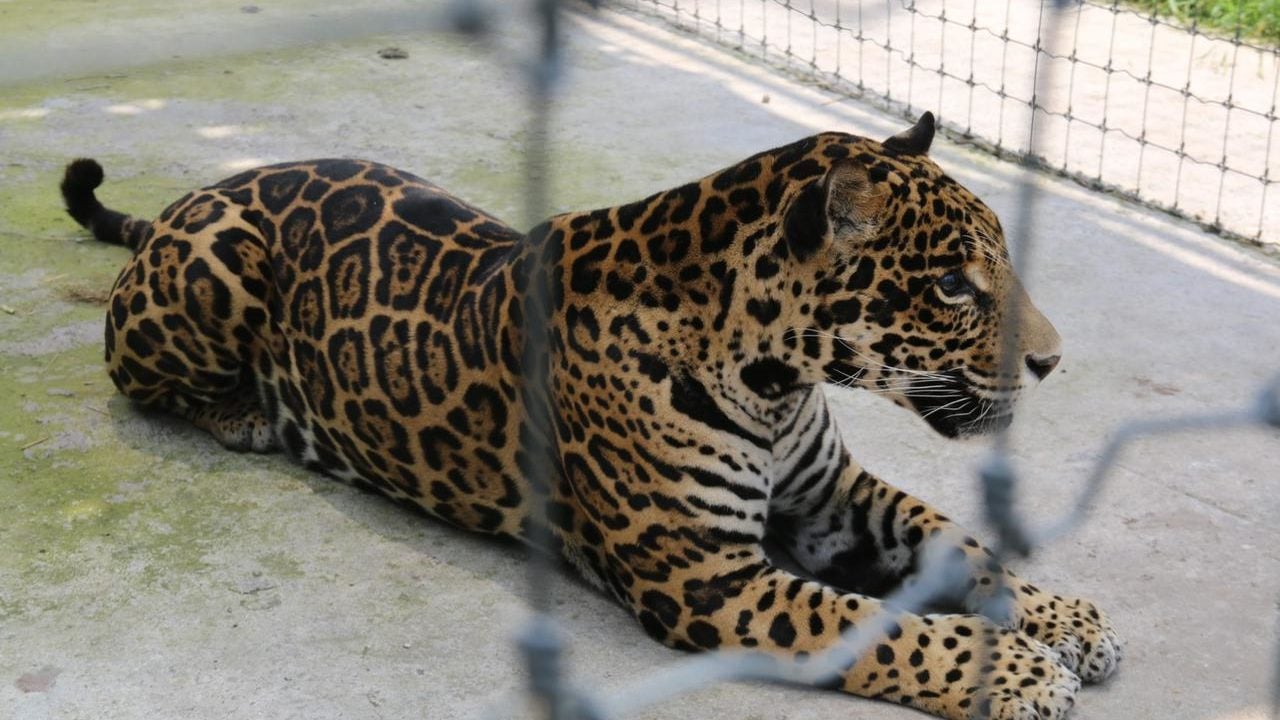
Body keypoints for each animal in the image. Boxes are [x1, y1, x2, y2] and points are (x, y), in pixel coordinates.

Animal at [61, 112, 1121, 719]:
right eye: (950, 285)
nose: (1052, 360)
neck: (776, 376)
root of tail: (190, 197)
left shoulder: (829, 497)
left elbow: (959, 543)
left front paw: (1059, 617)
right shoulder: (710, 579)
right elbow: (888, 631)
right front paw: (1019, 673)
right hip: (213, 271)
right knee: (135, 378)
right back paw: (247, 413)